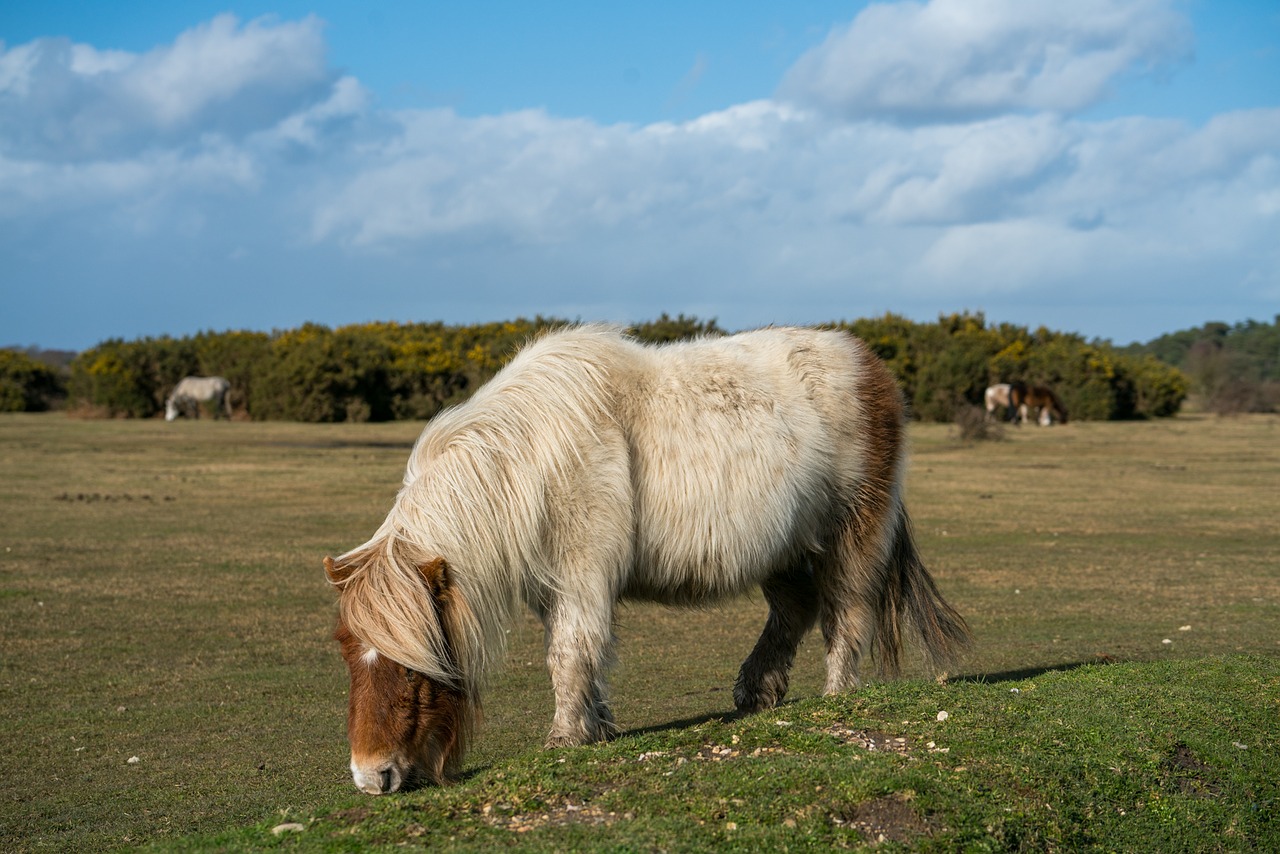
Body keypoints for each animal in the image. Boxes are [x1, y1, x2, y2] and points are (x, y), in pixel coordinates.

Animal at [322, 325, 967, 793]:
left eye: (414, 667)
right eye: (350, 655)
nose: (371, 777)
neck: (529, 460)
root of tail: (870, 365)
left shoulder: (582, 574)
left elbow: (570, 652)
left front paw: (564, 739)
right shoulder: (557, 586)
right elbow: (581, 652)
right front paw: (597, 727)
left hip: (852, 532)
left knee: (846, 611)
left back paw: (835, 696)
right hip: (784, 548)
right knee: (796, 609)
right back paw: (756, 691)